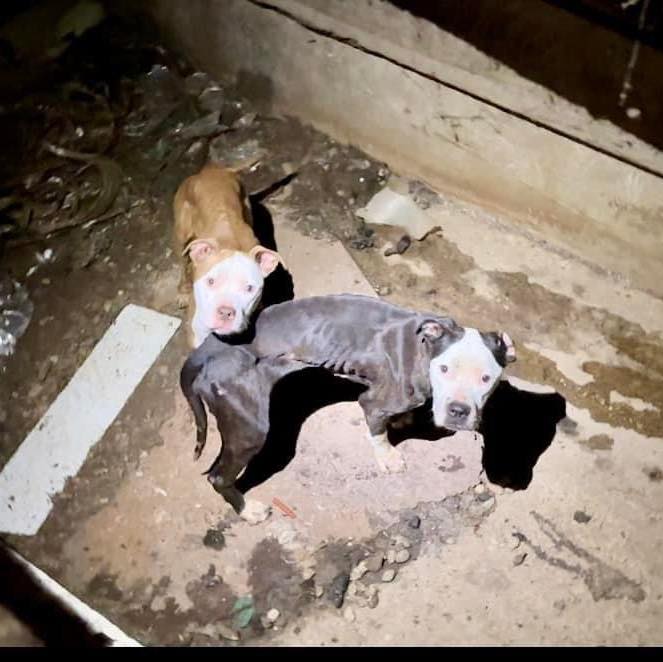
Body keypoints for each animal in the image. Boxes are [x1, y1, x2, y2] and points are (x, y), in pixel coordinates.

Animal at [172, 165, 284, 348]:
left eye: (249, 288)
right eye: (210, 281)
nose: (225, 312)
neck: (231, 245)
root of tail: (211, 169)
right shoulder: (196, 334)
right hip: (180, 236)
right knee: (182, 263)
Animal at [180, 296, 512, 524]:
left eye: (487, 378)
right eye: (444, 369)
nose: (458, 410)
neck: (424, 348)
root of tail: (206, 349)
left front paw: (403, 421)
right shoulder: (373, 403)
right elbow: (378, 434)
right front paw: (388, 457)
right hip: (250, 428)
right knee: (218, 477)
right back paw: (248, 510)